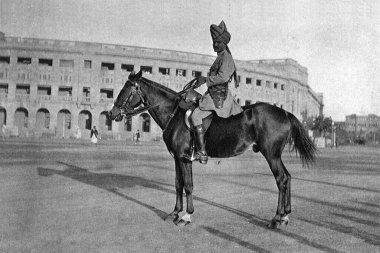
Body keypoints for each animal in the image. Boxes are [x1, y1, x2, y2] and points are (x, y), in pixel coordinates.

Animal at [108, 70, 316, 228]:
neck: (175, 114)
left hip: (271, 155)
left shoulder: (184, 159)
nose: (112, 113)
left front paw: (186, 216)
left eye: (126, 90)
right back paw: (285, 215)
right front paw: (175, 212)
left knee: (281, 179)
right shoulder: (177, 159)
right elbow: (178, 184)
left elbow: (188, 185)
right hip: (275, 155)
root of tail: (284, 112)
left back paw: (276, 218)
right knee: (287, 177)